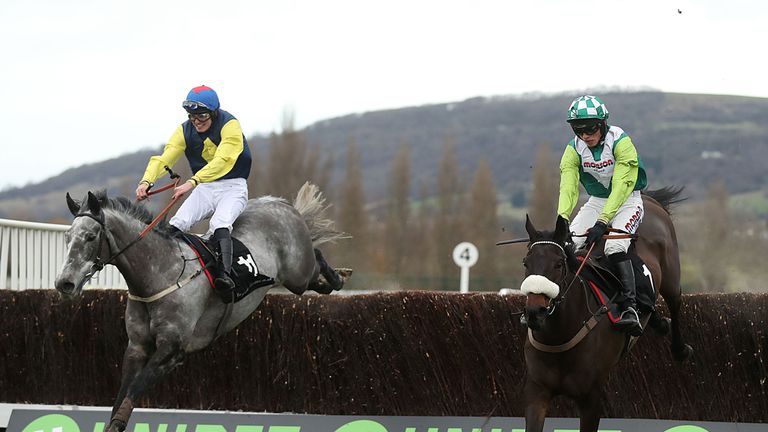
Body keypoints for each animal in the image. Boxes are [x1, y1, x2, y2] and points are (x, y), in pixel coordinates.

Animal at [54, 181, 352, 432]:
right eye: (67, 237)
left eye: (91, 236)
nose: (64, 283)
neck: (159, 273)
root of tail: (282, 204)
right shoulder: (137, 347)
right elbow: (122, 392)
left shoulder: (173, 350)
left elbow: (135, 389)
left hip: (297, 276)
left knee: (317, 259)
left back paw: (339, 275)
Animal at [520, 188, 692, 432]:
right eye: (526, 263)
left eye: (558, 264)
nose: (535, 312)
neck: (559, 336)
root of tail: (648, 198)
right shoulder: (537, 392)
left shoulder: (591, 397)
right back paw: (657, 322)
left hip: (670, 275)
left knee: (674, 303)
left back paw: (679, 349)